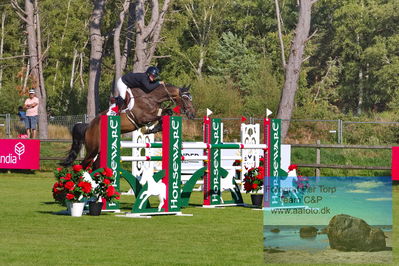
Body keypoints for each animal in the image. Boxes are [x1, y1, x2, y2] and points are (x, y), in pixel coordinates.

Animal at [60, 84, 196, 169]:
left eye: (191, 98)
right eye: (185, 98)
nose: (192, 114)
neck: (151, 98)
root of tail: (88, 126)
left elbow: (167, 112)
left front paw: (154, 129)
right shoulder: (143, 118)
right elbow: (163, 114)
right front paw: (153, 128)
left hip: (100, 150)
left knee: (94, 165)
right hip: (93, 149)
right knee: (83, 165)